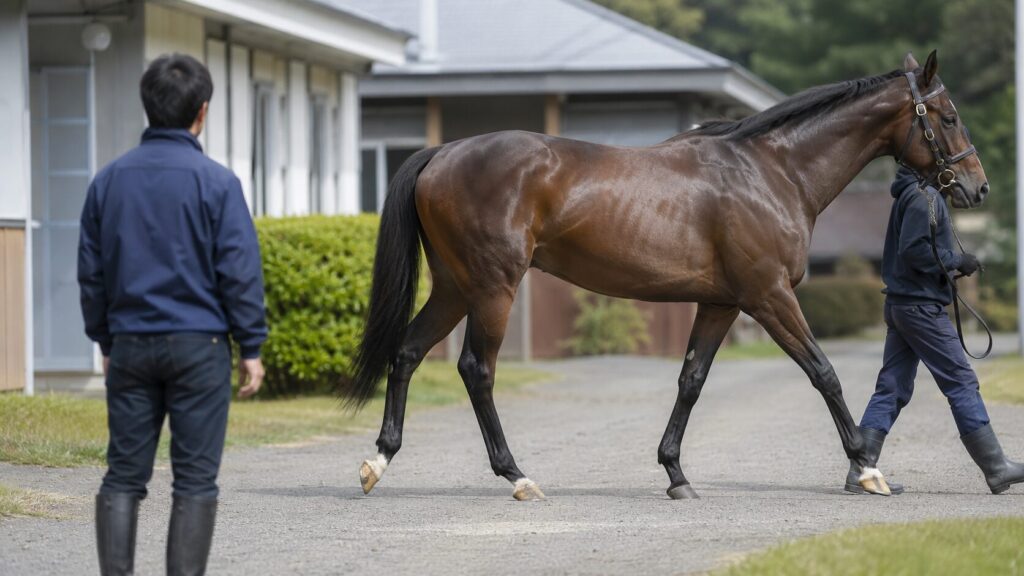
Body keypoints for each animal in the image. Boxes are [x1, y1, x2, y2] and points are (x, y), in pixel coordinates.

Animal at [344, 50, 988, 500]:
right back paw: (517, 476)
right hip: (493, 287)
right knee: (477, 370)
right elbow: (823, 373)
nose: (976, 187)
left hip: (455, 287)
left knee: (407, 353)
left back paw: (379, 461)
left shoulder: (722, 303)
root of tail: (442, 153)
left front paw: (676, 473)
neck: (773, 171)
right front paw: (868, 467)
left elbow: (691, 381)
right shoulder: (769, 296)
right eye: (949, 116)